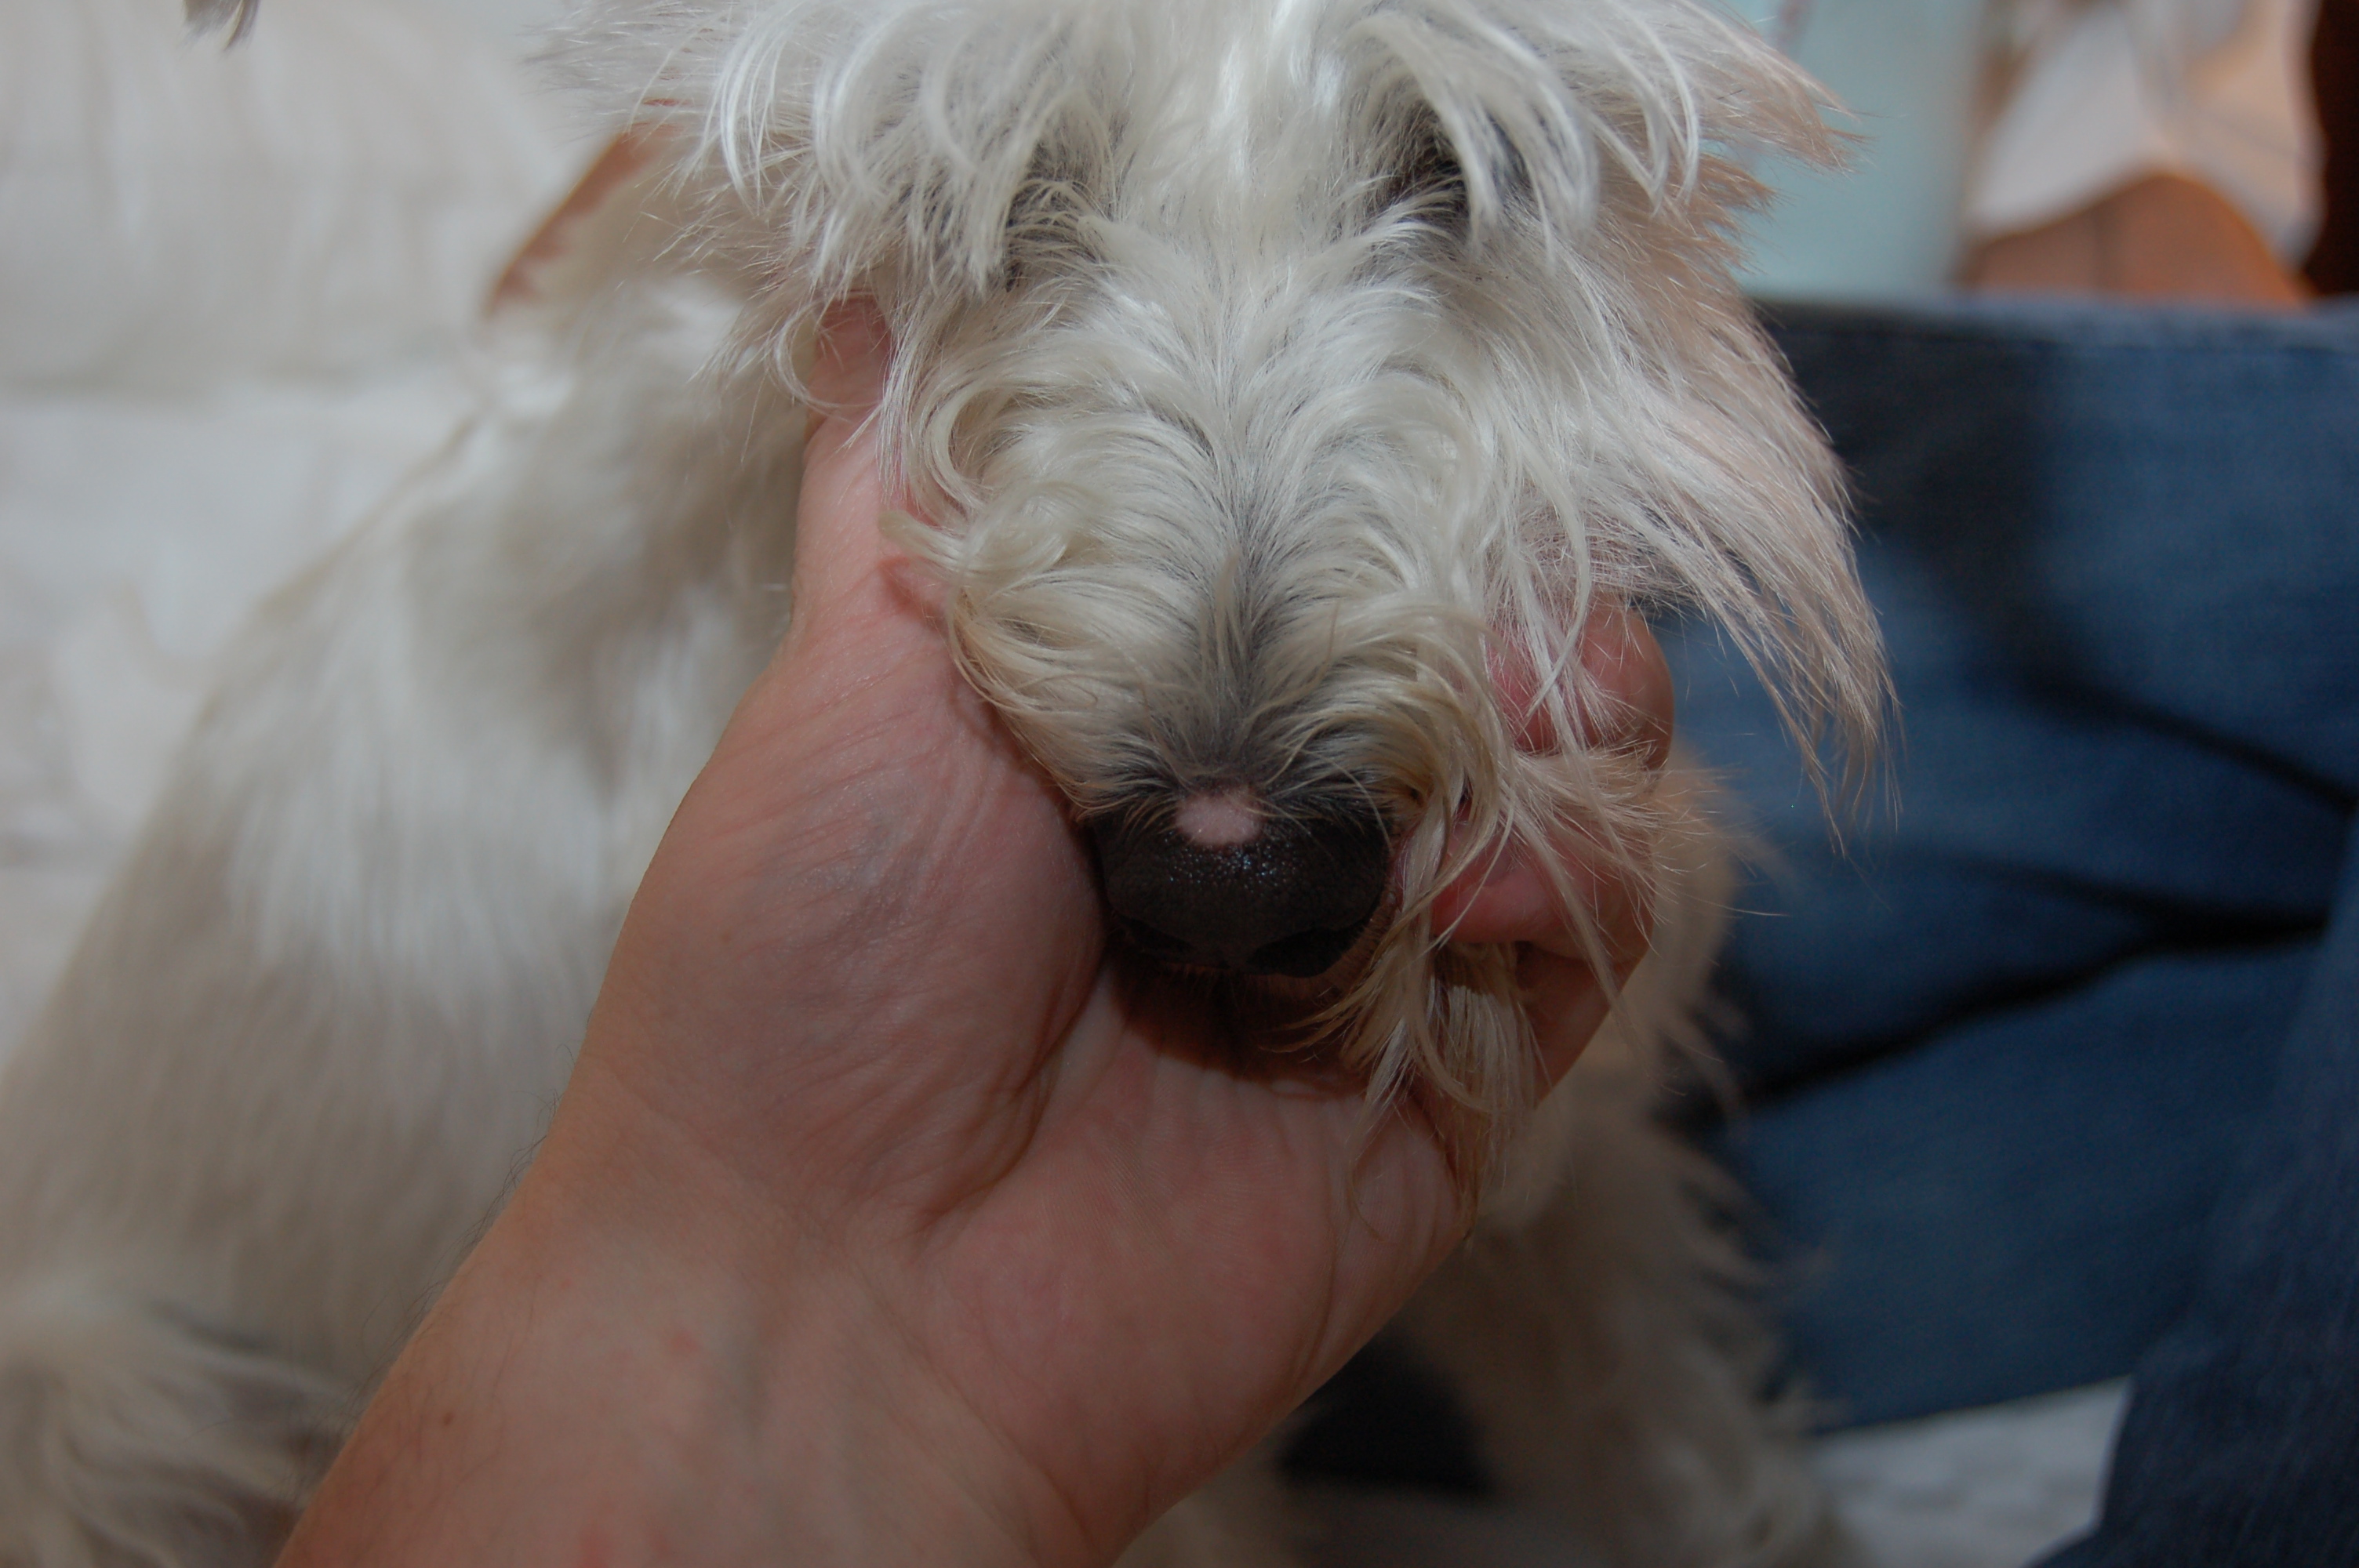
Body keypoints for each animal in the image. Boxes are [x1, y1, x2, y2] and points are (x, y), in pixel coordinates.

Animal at [0, 0, 1885, 1562]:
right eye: (978, 199)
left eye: (1456, 161)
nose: (1233, 877)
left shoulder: (1571, 1141)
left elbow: (1654, 1405)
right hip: (106, 1395)